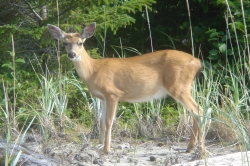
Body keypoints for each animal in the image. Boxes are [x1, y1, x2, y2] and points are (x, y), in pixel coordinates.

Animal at [47, 22, 205, 157]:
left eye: (80, 43)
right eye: (65, 43)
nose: (72, 54)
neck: (93, 71)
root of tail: (198, 62)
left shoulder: (112, 93)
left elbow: (109, 121)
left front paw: (106, 149)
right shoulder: (102, 98)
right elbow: (101, 121)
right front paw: (99, 145)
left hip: (178, 86)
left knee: (198, 109)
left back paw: (201, 149)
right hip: (186, 86)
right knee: (194, 111)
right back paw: (190, 147)